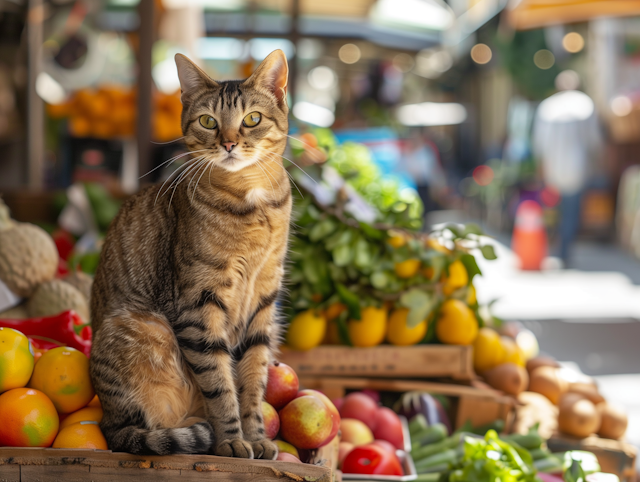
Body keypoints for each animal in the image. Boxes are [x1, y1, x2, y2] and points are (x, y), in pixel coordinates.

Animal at [89, 50, 292, 460]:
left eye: (252, 119)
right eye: (208, 121)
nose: (229, 144)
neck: (252, 199)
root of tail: (107, 421)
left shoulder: (264, 300)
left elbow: (253, 378)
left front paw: (256, 437)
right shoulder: (198, 304)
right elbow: (219, 382)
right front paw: (232, 441)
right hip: (142, 325)